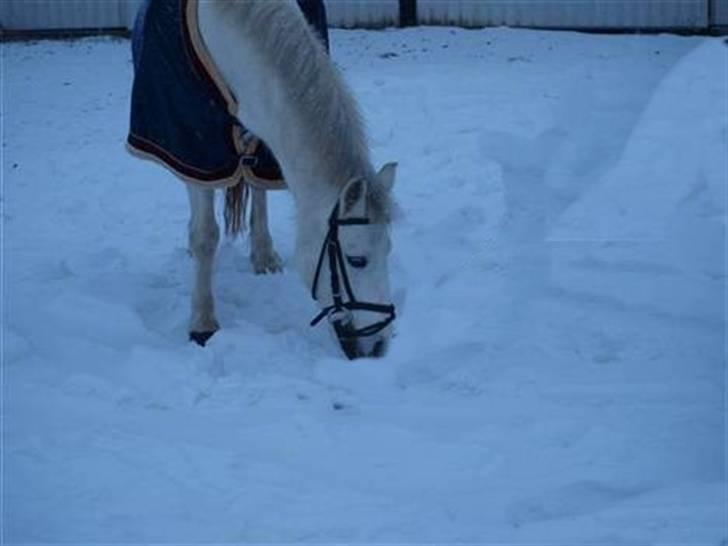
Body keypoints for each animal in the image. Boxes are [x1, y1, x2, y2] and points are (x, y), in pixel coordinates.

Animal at [128, 0, 397, 359]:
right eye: (357, 260)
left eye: (388, 250)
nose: (379, 346)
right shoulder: (191, 145)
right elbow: (205, 235)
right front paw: (202, 323)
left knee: (257, 188)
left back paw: (264, 255)